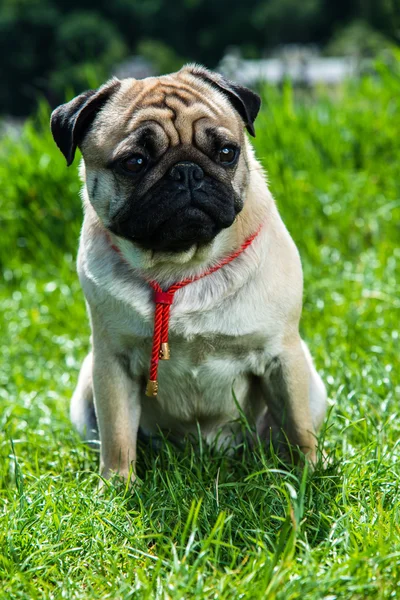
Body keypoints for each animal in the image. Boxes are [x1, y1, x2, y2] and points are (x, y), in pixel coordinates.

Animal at [50, 64, 326, 482]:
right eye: (134, 163)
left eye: (226, 153)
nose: (187, 172)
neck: (182, 265)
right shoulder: (111, 364)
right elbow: (117, 434)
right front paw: (118, 485)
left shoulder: (282, 355)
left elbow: (297, 425)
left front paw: (307, 474)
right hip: (85, 396)